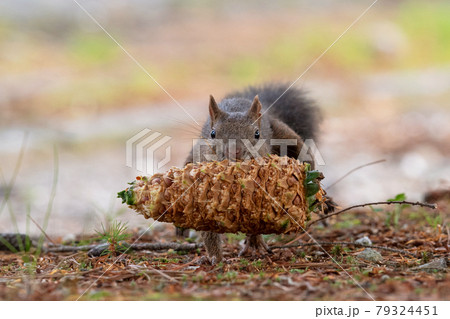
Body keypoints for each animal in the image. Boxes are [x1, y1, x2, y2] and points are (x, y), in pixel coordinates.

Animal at [178, 83, 332, 264]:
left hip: (284, 133)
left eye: (257, 134)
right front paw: (216, 258)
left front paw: (254, 243)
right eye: (213, 133)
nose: (235, 152)